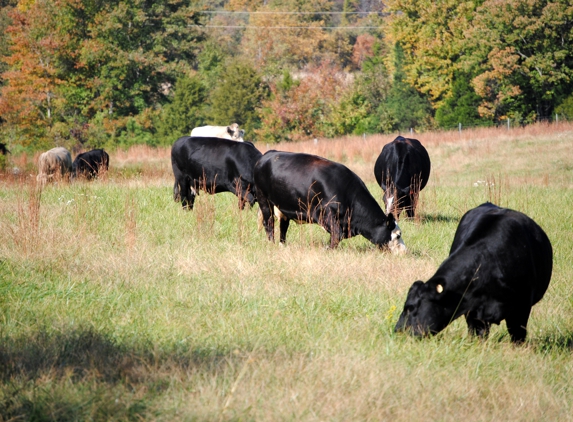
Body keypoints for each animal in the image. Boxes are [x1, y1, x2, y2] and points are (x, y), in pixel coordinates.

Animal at [255, 150, 406, 252]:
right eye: (398, 235)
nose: (405, 251)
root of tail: (268, 154)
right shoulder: (326, 213)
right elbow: (337, 235)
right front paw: (326, 249)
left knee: (283, 225)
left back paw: (282, 245)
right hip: (264, 200)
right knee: (269, 222)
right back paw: (272, 244)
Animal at [396, 203, 552, 344]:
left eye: (410, 307)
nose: (397, 330)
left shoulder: (522, 308)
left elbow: (517, 335)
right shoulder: (472, 309)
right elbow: (478, 333)